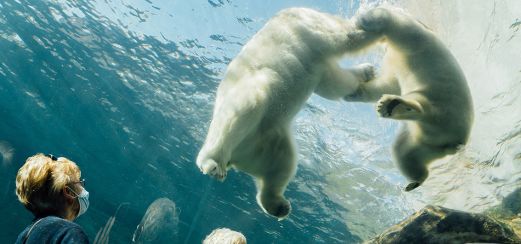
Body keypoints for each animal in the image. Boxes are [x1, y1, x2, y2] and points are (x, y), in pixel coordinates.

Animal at [196, 7, 374, 218]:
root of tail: (237, 157)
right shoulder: (308, 24)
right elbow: (346, 36)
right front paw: (374, 19)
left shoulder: (319, 63)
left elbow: (333, 84)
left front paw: (367, 71)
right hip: (251, 98)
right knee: (247, 104)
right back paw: (213, 162)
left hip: (267, 141)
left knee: (282, 163)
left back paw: (278, 205)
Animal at [344, 7, 474, 191]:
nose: (353, 23)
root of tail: (455, 143)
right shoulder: (397, 58)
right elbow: (387, 84)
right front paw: (353, 92)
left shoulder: (409, 38)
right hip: (426, 142)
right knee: (405, 151)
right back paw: (415, 181)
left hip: (444, 106)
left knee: (424, 107)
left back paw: (392, 105)